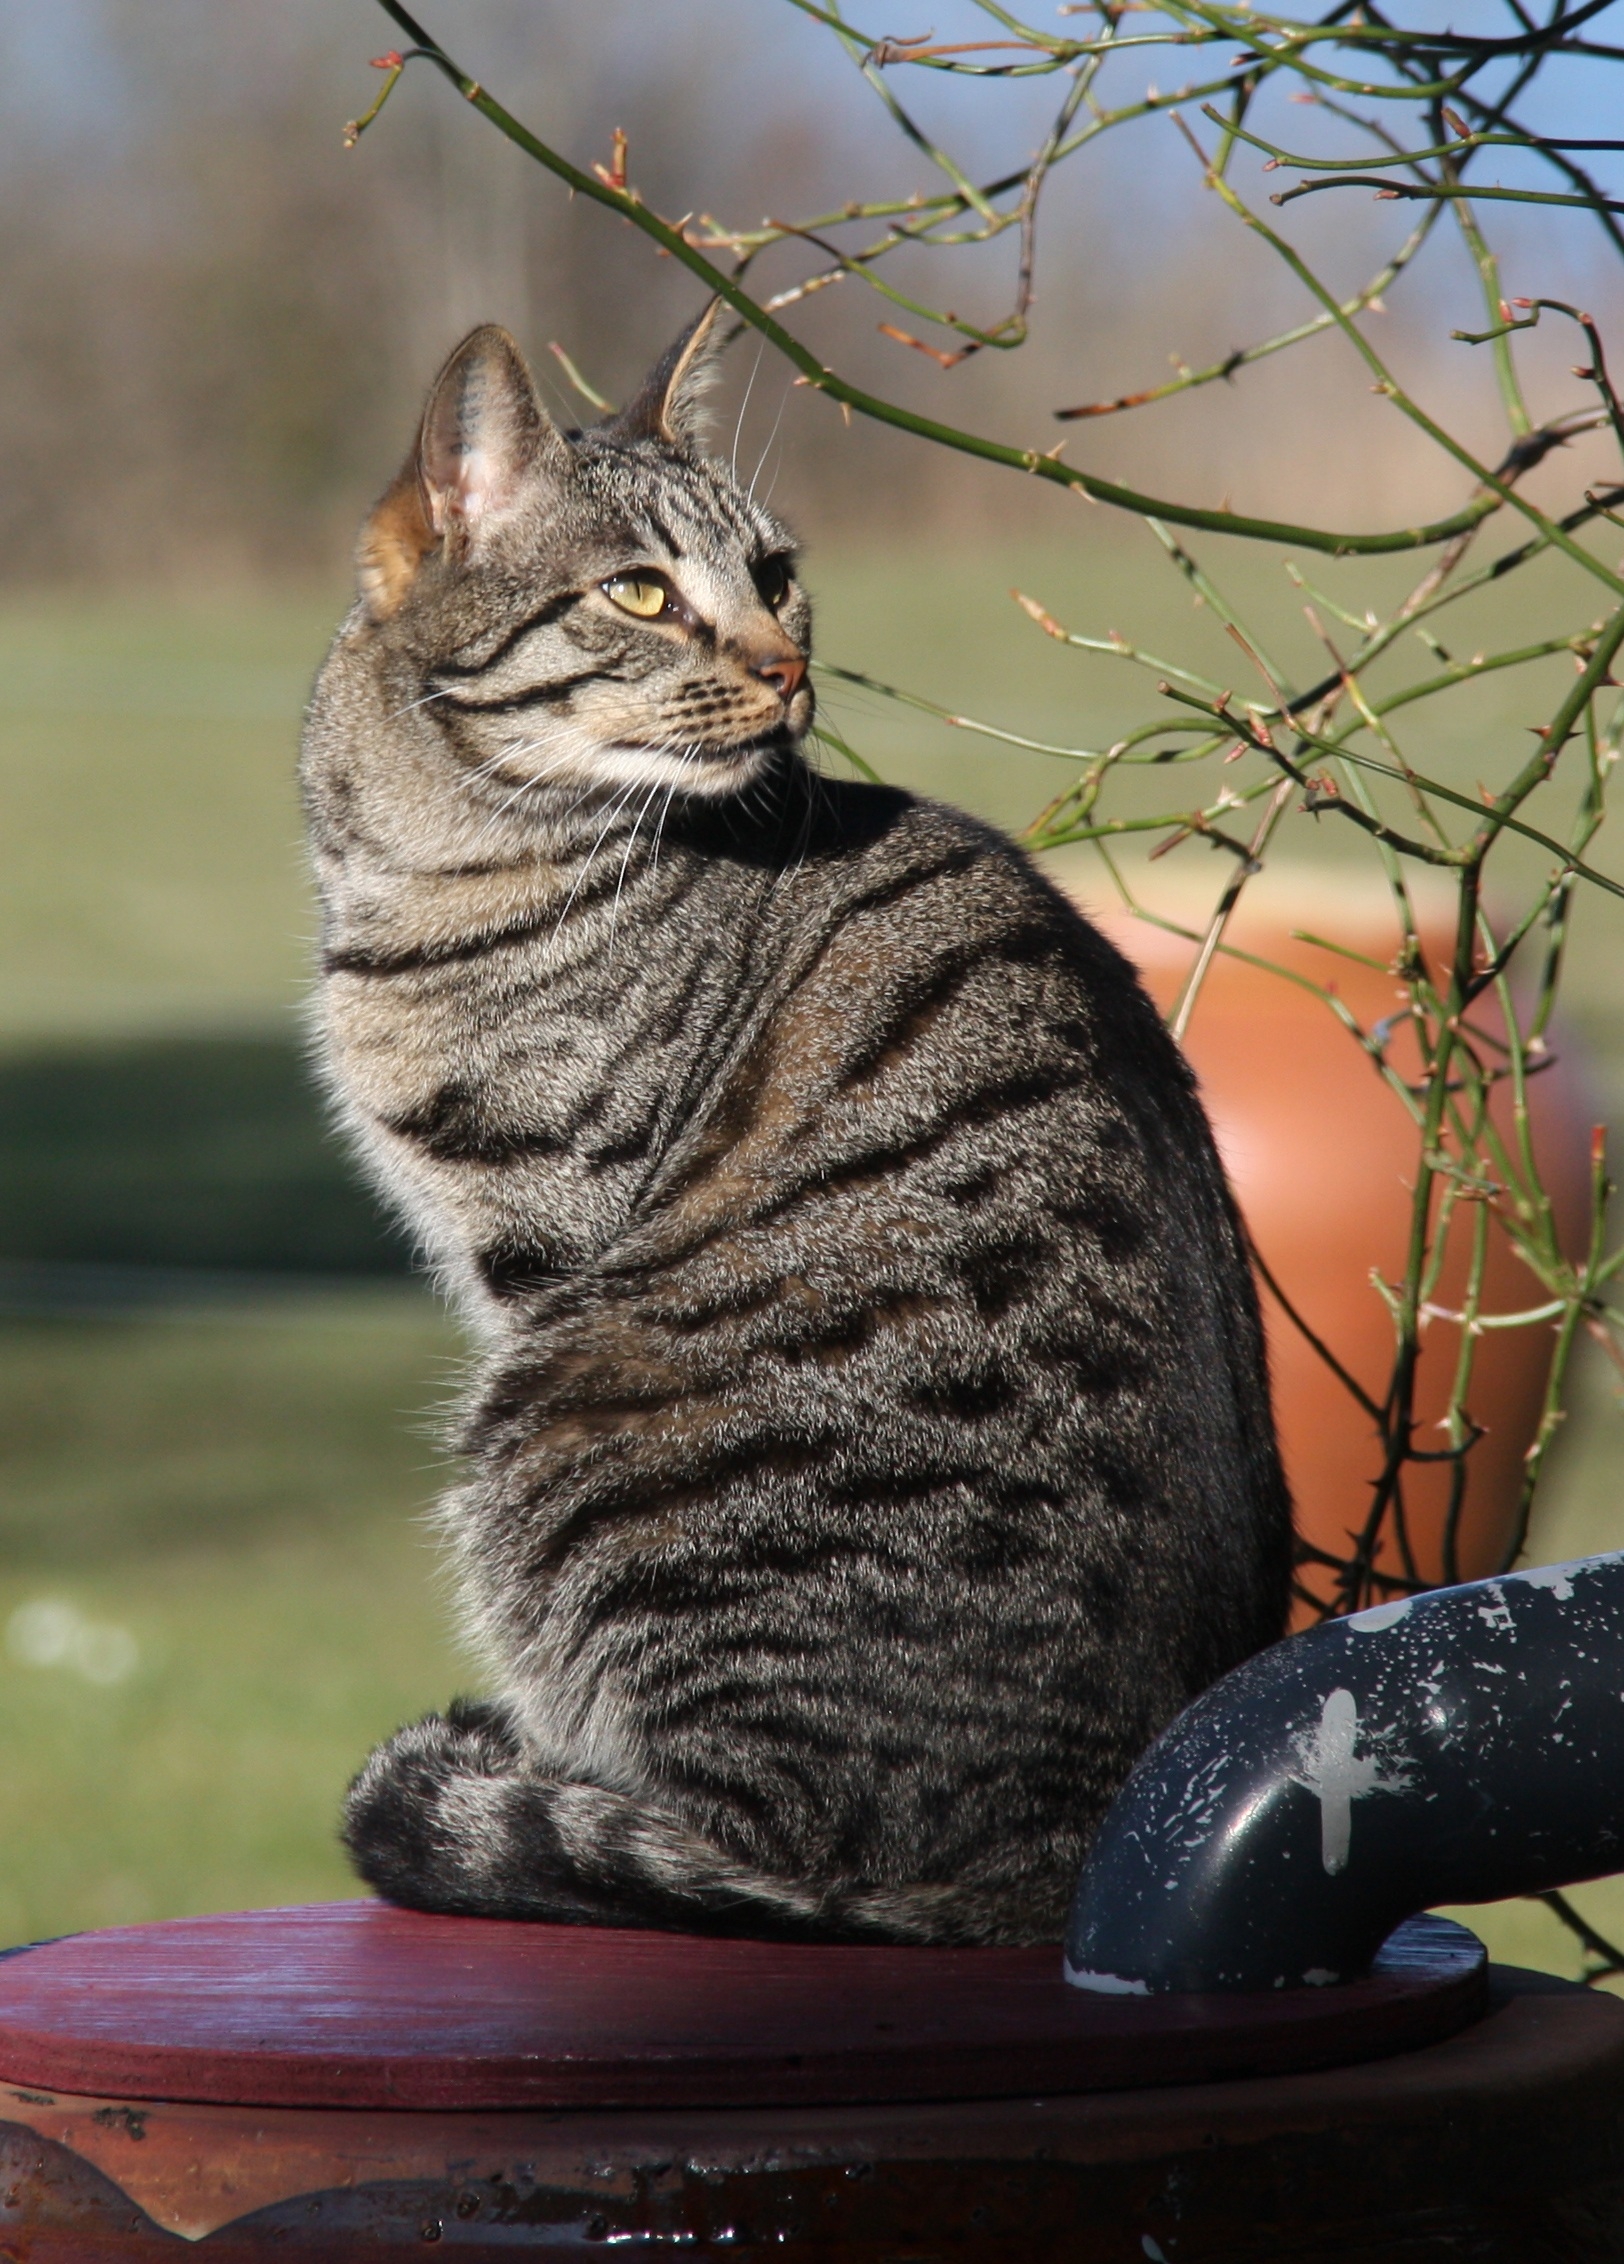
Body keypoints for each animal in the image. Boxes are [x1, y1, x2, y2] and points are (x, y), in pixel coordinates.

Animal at [301, 314, 1295, 1947]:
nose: (787, 669)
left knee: (751, 1860)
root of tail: (1079, 1833)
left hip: (551, 1422)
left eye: (771, 574)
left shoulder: (537, 1252)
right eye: (642, 592)